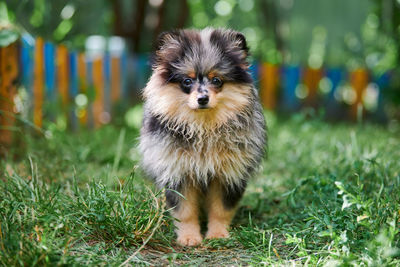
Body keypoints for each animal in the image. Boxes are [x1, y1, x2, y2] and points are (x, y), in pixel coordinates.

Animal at [139, 27, 268, 247]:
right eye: (187, 81)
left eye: (216, 80)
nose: (202, 98)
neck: (203, 127)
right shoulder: (178, 172)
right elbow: (185, 211)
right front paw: (189, 237)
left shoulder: (228, 173)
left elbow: (221, 210)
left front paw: (217, 235)